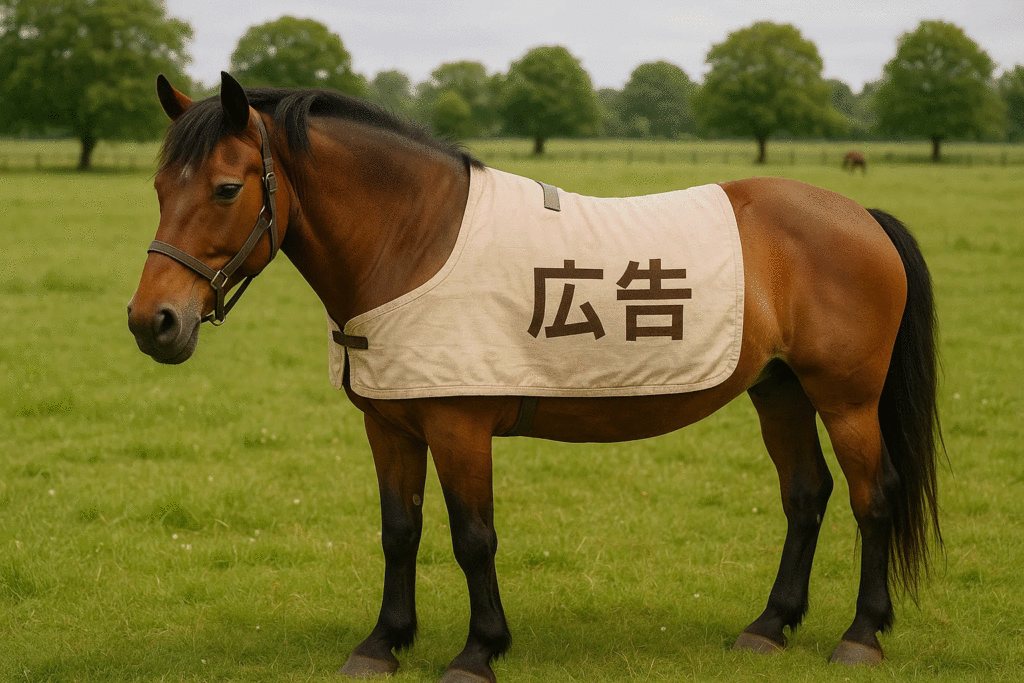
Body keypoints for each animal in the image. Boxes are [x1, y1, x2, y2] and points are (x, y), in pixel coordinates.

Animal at [128, 73, 942, 682]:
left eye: (227, 189)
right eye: (160, 187)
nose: (152, 322)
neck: (414, 242)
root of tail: (860, 215)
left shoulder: (458, 425)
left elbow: (472, 536)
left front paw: (478, 650)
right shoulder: (389, 424)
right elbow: (400, 530)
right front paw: (383, 643)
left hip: (846, 399)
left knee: (873, 496)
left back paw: (860, 634)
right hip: (780, 390)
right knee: (806, 495)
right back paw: (770, 625)